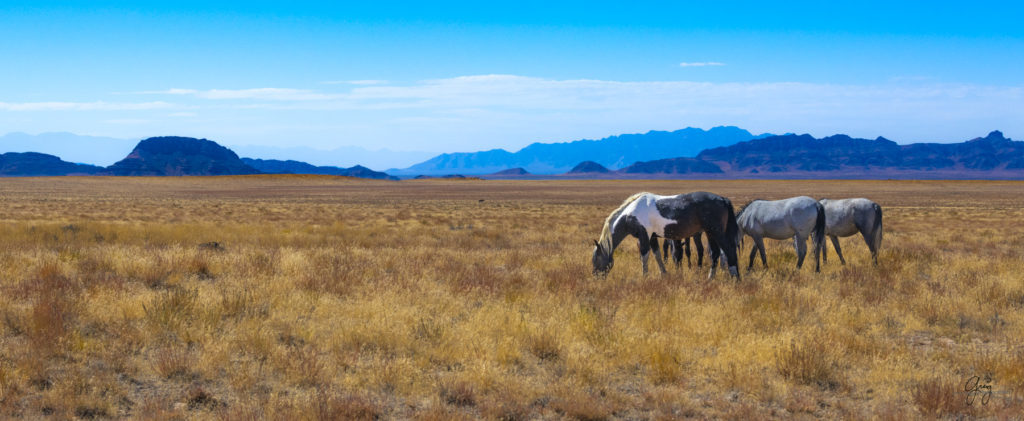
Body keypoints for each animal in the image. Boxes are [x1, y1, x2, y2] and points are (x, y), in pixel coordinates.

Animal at [593, 192, 745, 282]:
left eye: (596, 259)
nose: (595, 277)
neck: (631, 213)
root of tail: (723, 199)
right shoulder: (652, 237)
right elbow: (658, 255)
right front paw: (664, 274)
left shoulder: (644, 236)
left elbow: (644, 256)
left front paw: (644, 277)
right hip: (710, 234)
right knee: (715, 253)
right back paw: (710, 279)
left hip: (716, 233)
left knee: (729, 251)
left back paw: (735, 279)